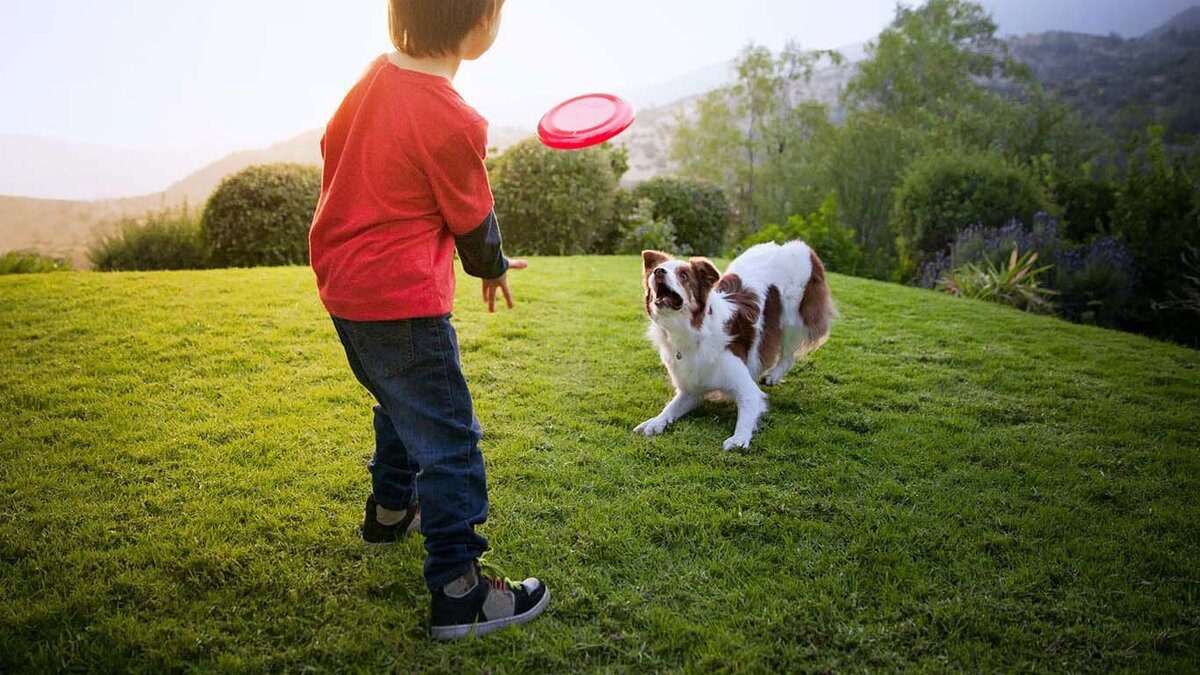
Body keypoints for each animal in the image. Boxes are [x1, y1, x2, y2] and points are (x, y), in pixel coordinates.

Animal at [638, 239, 835, 449]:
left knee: (788, 355)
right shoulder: (691, 389)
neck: (693, 332)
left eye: (683, 275)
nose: (658, 271)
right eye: (657, 269)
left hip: (792, 319)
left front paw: (739, 438)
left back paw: (773, 376)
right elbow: (670, 408)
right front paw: (655, 422)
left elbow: (747, 411)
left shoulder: (747, 389)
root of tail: (797, 246)